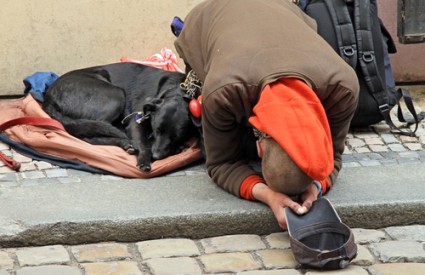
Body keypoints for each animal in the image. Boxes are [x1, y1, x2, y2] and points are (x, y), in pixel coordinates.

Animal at [43, 62, 195, 172]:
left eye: (176, 136)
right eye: (157, 129)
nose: (156, 156)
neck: (177, 89)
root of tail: (49, 98)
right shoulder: (136, 122)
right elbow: (144, 144)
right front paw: (144, 161)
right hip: (116, 94)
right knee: (89, 134)